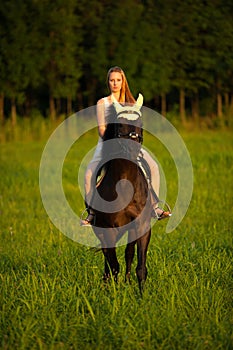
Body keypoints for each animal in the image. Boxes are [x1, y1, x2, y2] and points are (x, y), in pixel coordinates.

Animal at [90, 94, 152, 292]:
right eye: (120, 125)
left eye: (140, 122)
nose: (132, 149)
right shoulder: (108, 230)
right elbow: (113, 264)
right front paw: (114, 294)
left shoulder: (141, 226)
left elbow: (140, 266)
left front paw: (141, 295)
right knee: (108, 258)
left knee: (128, 253)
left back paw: (127, 281)